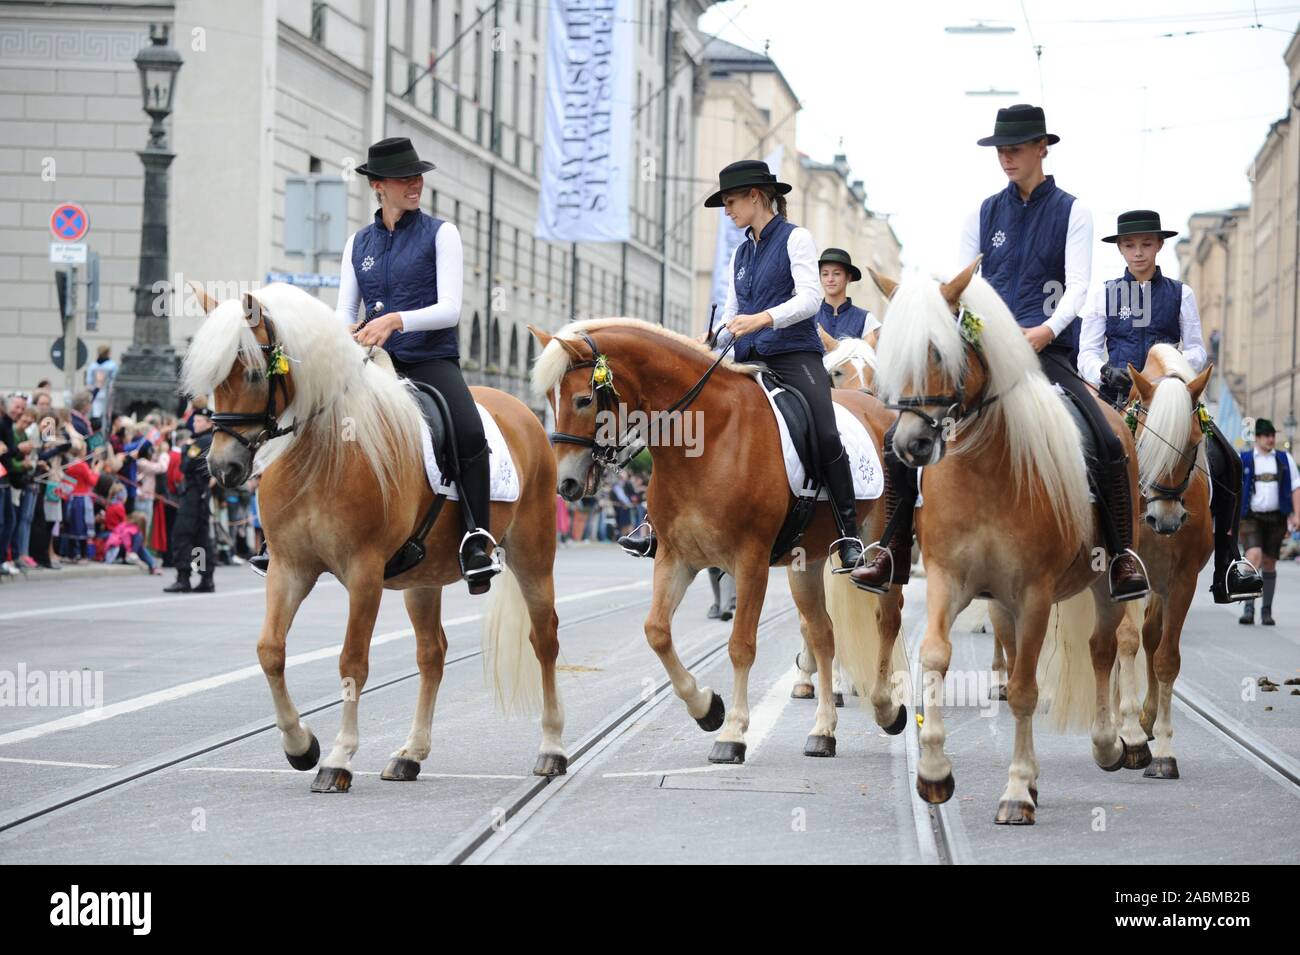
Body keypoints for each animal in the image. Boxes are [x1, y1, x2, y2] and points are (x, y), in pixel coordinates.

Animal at [180, 281, 566, 789]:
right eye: (213, 377)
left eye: (252, 373)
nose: (224, 468)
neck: (323, 453)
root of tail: (522, 411)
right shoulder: (289, 568)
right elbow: (270, 651)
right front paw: (300, 746)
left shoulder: (363, 575)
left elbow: (352, 662)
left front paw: (338, 757)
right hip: (423, 579)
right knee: (432, 654)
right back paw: (411, 754)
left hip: (532, 555)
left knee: (545, 639)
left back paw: (552, 748)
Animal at [525, 319, 904, 764]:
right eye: (549, 399)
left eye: (584, 399)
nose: (564, 483)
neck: (711, 437)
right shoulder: (676, 558)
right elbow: (656, 631)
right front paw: (706, 707)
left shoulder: (750, 561)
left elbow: (741, 644)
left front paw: (733, 733)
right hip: (806, 563)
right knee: (823, 633)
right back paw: (823, 730)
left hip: (880, 552)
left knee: (887, 620)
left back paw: (886, 706)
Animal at [868, 259, 1144, 821]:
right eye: (889, 350)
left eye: (938, 351)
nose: (909, 445)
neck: (985, 470)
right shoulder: (947, 581)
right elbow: (935, 655)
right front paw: (934, 772)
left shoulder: (1035, 594)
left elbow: (1022, 691)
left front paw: (1016, 790)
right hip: (1001, 604)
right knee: (1020, 651)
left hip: (1101, 584)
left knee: (1102, 649)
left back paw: (1108, 744)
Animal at [1040, 348, 1211, 779]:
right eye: (1145, 439)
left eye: (1194, 442)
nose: (1165, 519)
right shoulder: (1127, 574)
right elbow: (1127, 642)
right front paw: (1130, 736)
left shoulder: (1182, 581)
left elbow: (1166, 656)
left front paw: (1163, 748)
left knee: (1152, 636)